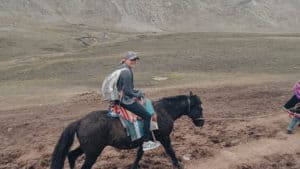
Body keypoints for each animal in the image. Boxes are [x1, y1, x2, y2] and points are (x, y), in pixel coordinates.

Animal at [51, 92, 204, 169]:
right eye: (199, 107)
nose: (201, 122)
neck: (163, 111)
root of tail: (80, 121)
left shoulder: (145, 140)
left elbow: (139, 155)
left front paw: (134, 167)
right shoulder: (164, 138)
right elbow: (171, 151)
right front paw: (178, 164)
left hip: (87, 149)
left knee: (71, 155)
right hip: (93, 152)